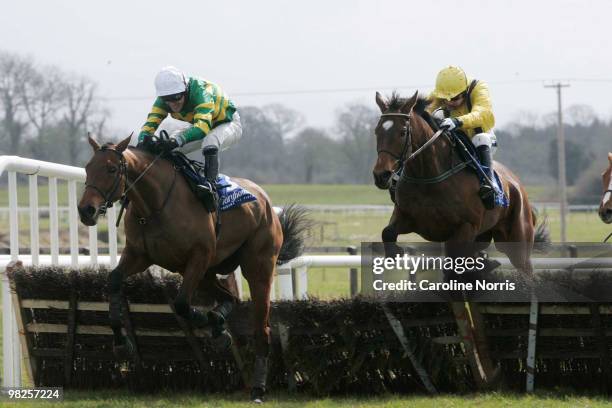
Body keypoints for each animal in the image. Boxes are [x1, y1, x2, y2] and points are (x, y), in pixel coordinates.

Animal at [76, 135, 308, 402]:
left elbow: (182, 304)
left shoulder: (198, 257)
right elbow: (114, 280)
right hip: (209, 272)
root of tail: (264, 199)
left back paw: (258, 386)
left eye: (112, 169)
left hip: (258, 267)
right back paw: (219, 321)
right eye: (87, 167)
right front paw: (121, 342)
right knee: (231, 298)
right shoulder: (139, 255)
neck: (155, 205)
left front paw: (216, 330)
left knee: (262, 328)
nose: (86, 210)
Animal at [372, 91, 548, 278]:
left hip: (517, 242)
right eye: (377, 131)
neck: (428, 177)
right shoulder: (405, 216)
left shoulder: (465, 229)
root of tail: (517, 185)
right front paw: (397, 253)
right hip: (483, 237)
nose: (381, 175)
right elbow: (387, 233)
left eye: (403, 132)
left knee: (526, 269)